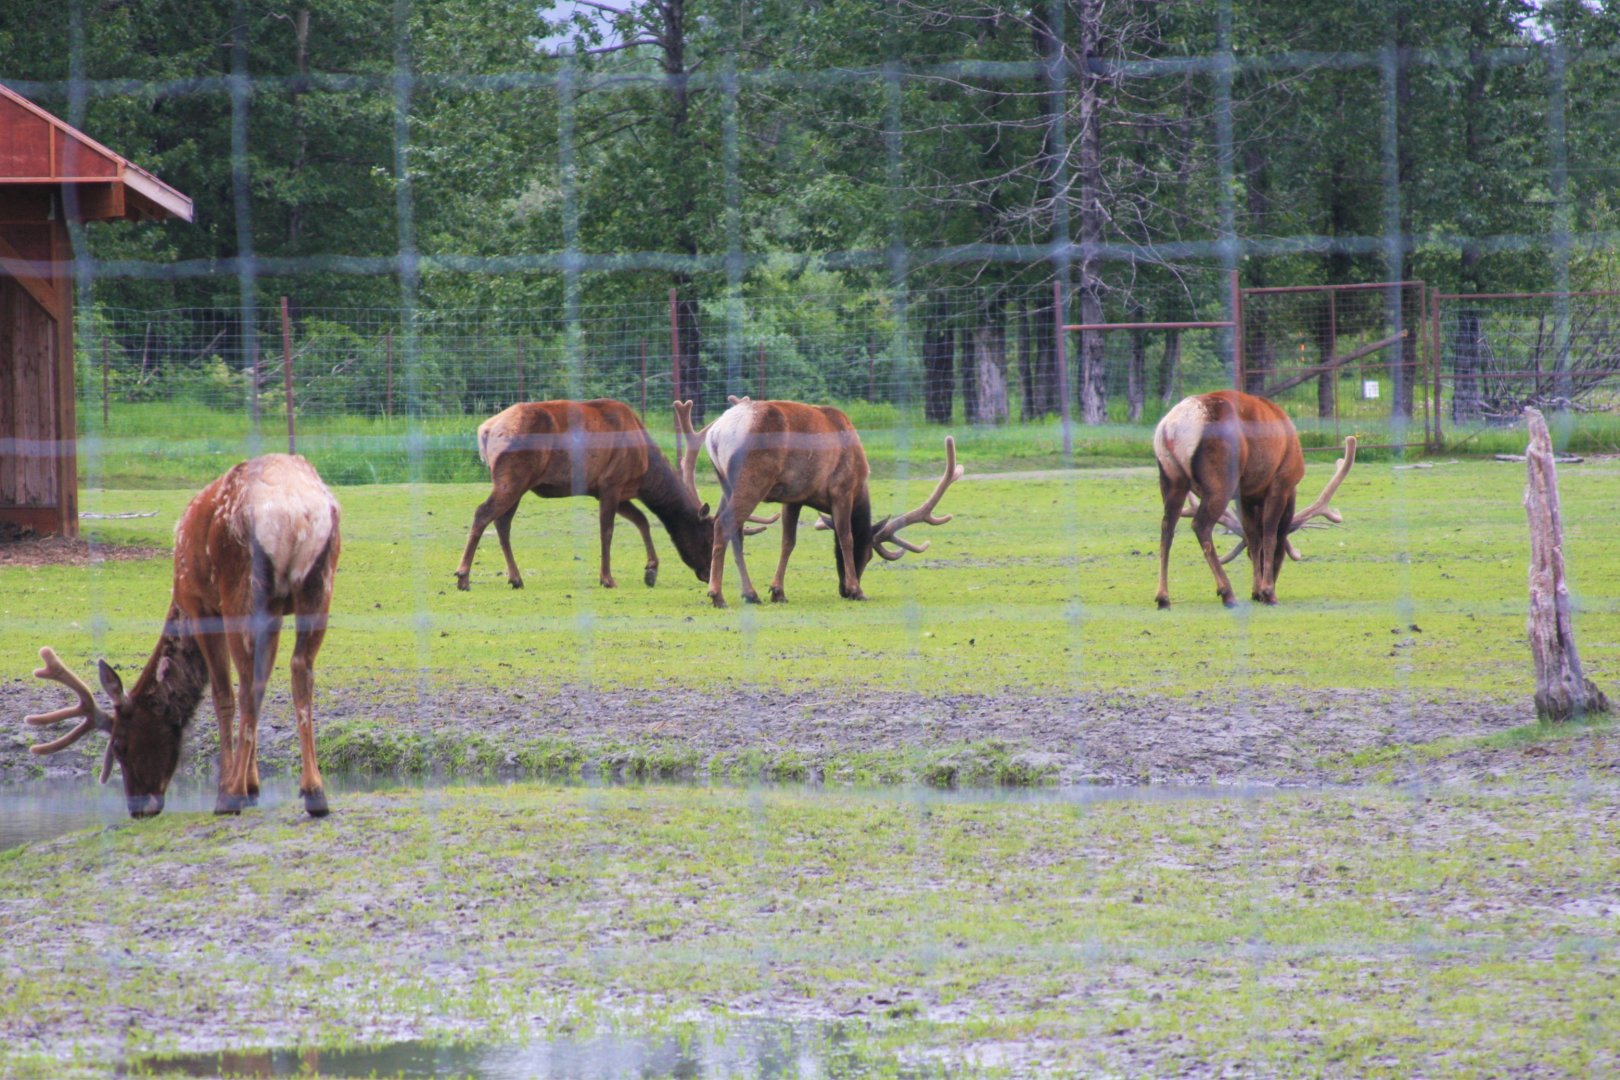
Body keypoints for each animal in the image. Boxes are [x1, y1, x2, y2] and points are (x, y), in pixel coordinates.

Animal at [23, 454, 341, 818]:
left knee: (246, 686)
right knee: (299, 668)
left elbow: (222, 695)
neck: (176, 602)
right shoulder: (272, 614)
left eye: (119, 745)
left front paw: (232, 787)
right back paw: (314, 792)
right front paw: (253, 785)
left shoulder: (199, 604)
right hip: (319, 582)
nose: (138, 808)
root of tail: (296, 510)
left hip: (240, 586)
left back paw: (231, 796)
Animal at [675, 398, 963, 608]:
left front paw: (778, 591)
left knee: (734, 530)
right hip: (752, 479)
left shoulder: (794, 498)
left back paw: (751, 593)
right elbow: (846, 537)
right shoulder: (842, 489)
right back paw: (717, 595)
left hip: (726, 482)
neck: (860, 487)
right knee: (724, 524)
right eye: (868, 555)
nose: (843, 590)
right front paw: (858, 589)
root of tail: (716, 433)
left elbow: (788, 542)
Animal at [1153, 389, 1355, 608]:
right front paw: (1267, 592)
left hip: (1171, 478)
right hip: (1221, 480)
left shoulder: (1247, 496)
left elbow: (1253, 536)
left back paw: (1163, 597)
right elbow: (1269, 535)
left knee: (1167, 528)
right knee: (1201, 525)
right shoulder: (1280, 482)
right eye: (1280, 556)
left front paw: (1256, 591)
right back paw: (1227, 592)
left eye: (1249, 556)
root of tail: (1172, 427)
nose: (1273, 581)